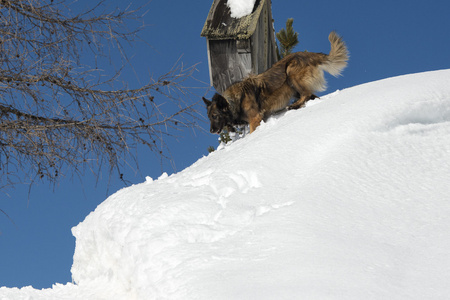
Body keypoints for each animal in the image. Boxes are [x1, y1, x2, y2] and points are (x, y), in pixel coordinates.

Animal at [203, 30, 348, 134]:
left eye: (215, 116)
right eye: (209, 117)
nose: (211, 131)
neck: (235, 100)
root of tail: (309, 54)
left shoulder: (255, 118)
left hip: (291, 73)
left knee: (306, 94)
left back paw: (294, 106)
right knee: (310, 96)